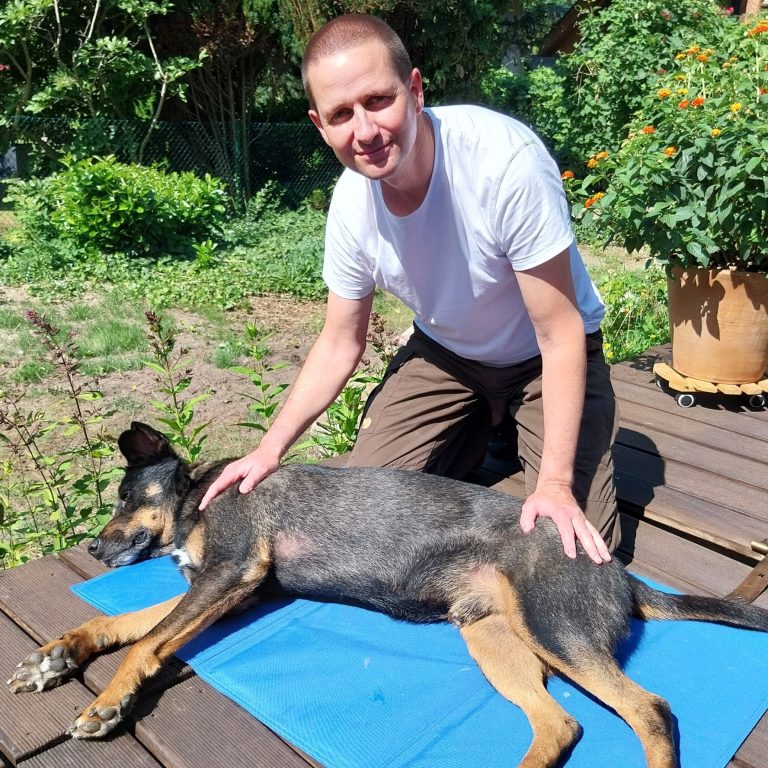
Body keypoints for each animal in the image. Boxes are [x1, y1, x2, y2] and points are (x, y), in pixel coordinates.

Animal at [8, 421, 768, 768]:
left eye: (129, 498)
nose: (96, 549)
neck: (199, 498)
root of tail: (619, 569)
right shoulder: (226, 588)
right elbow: (131, 625)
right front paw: (56, 656)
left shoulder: (232, 575)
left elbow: (147, 645)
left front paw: (105, 704)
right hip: (493, 635)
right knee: (561, 725)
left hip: (556, 628)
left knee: (650, 710)